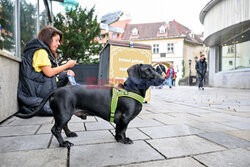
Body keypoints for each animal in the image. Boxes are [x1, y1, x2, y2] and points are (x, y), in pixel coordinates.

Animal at [15, 64, 164, 147]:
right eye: (147, 70)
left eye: (155, 69)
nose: (163, 79)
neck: (131, 90)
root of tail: (56, 90)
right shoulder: (125, 118)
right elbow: (122, 130)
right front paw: (124, 140)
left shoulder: (121, 120)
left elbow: (119, 130)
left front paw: (118, 139)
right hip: (64, 114)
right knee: (56, 129)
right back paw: (63, 144)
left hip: (64, 114)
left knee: (64, 126)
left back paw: (69, 134)